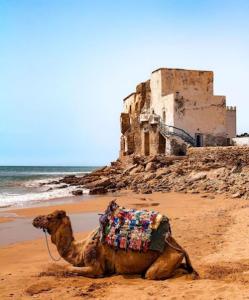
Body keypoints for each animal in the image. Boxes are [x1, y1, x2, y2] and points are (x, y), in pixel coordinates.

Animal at [32, 210, 198, 280]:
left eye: (49, 217)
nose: (35, 219)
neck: (80, 249)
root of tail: (179, 246)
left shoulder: (95, 264)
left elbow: (70, 268)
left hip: (166, 259)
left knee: (153, 273)